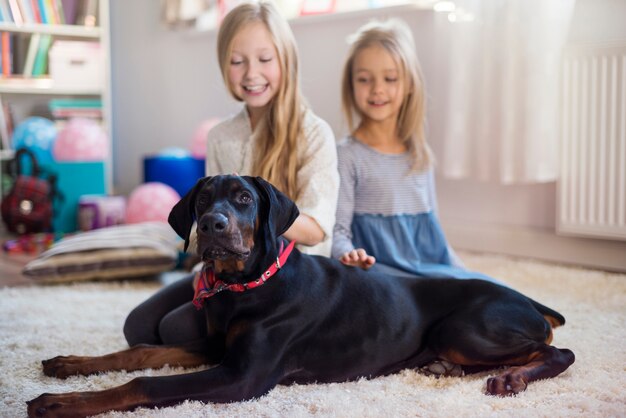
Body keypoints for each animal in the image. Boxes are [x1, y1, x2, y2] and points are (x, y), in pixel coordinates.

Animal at [26, 175, 572, 416]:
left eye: (244, 199)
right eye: (202, 200)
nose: (212, 225)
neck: (245, 286)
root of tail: (530, 301)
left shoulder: (242, 376)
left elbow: (143, 383)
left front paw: (60, 403)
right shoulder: (216, 347)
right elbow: (140, 351)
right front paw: (69, 364)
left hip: (465, 328)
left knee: (558, 350)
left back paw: (513, 378)